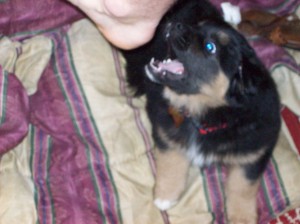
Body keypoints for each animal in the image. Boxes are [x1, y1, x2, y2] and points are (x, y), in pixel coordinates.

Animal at [122, 0, 282, 223]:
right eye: (198, 25)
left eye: (210, 47)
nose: (177, 25)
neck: (206, 113)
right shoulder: (168, 131)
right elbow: (171, 162)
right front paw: (165, 196)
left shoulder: (254, 150)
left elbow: (242, 187)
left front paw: (241, 218)